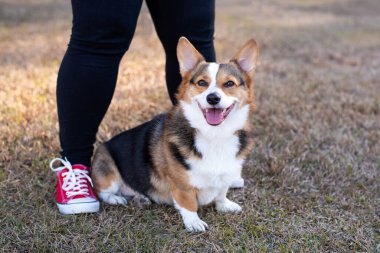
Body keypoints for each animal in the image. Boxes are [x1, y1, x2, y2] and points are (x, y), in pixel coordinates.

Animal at [91, 36, 260, 232]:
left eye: (229, 84)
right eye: (202, 83)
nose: (212, 98)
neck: (214, 134)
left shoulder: (225, 174)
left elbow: (221, 192)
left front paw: (224, 205)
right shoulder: (181, 185)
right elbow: (188, 204)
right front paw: (194, 222)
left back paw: (141, 197)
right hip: (107, 171)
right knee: (103, 191)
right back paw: (117, 198)